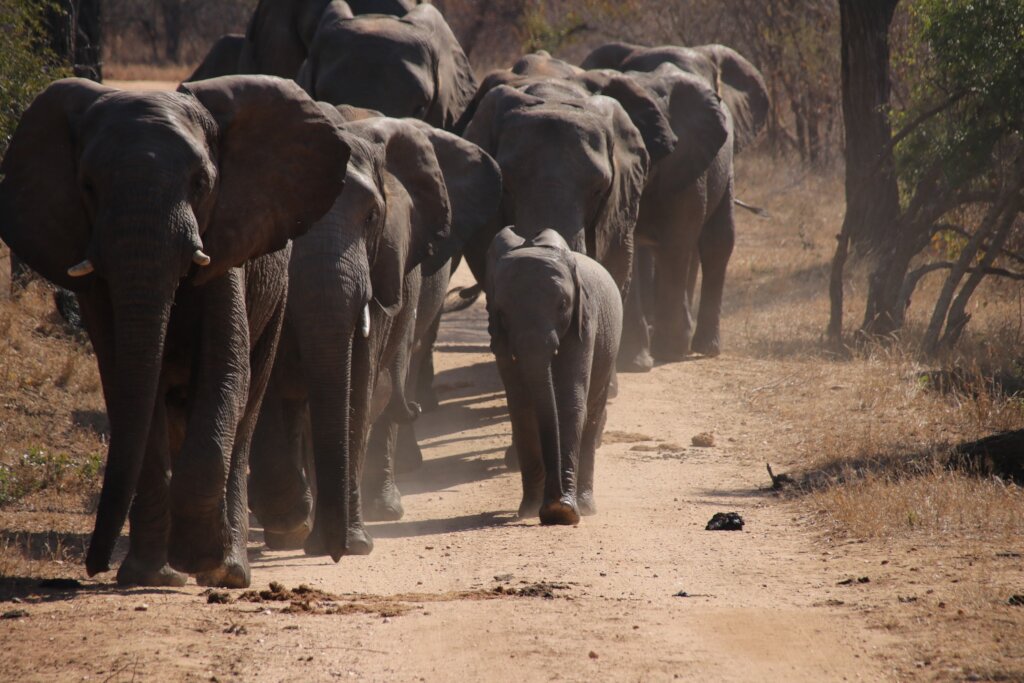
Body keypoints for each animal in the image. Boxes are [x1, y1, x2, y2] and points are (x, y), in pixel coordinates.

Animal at [0, 76, 349, 586]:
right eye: (88, 185)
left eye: (200, 183)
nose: (94, 565)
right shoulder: (96, 279)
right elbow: (129, 392)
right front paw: (151, 576)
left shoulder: (227, 251)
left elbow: (226, 373)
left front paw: (202, 561)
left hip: (276, 296)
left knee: (247, 409)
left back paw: (231, 572)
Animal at [248, 110, 498, 555]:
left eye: (370, 217)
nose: (332, 551)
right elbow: (273, 383)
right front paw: (291, 523)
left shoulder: (383, 265)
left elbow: (357, 385)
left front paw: (349, 543)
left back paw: (380, 512)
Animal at [485, 228, 622, 524]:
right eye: (502, 311)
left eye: (562, 305)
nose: (555, 503)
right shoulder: (499, 337)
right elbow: (523, 410)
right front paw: (530, 510)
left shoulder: (584, 324)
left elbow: (569, 404)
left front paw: (565, 511)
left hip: (609, 349)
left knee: (592, 415)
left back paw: (586, 506)